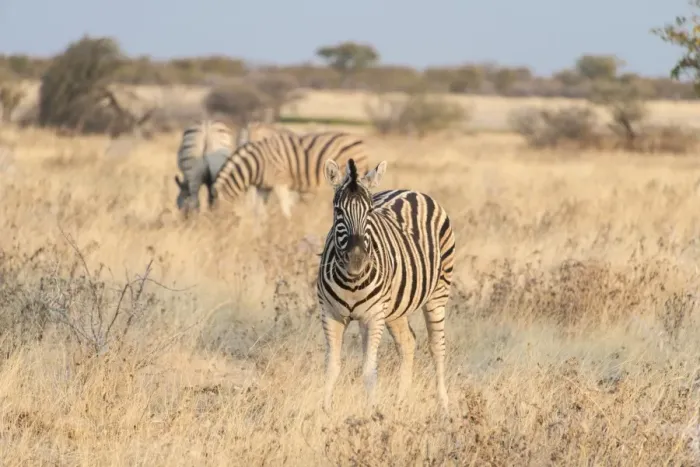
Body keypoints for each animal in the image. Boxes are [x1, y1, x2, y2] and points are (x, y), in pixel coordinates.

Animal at [209, 130, 369, 219]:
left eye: (218, 218)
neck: (256, 164)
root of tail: (359, 140)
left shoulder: (280, 181)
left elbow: (284, 206)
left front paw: (287, 224)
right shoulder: (263, 187)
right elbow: (260, 212)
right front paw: (261, 229)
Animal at [317, 158, 456, 414]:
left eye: (370, 211)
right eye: (338, 210)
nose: (357, 259)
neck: (352, 281)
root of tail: (412, 191)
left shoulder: (372, 316)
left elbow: (369, 371)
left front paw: (372, 413)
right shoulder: (331, 314)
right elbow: (332, 367)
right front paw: (326, 411)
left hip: (438, 294)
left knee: (437, 347)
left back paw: (443, 406)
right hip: (395, 310)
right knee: (407, 343)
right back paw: (401, 403)